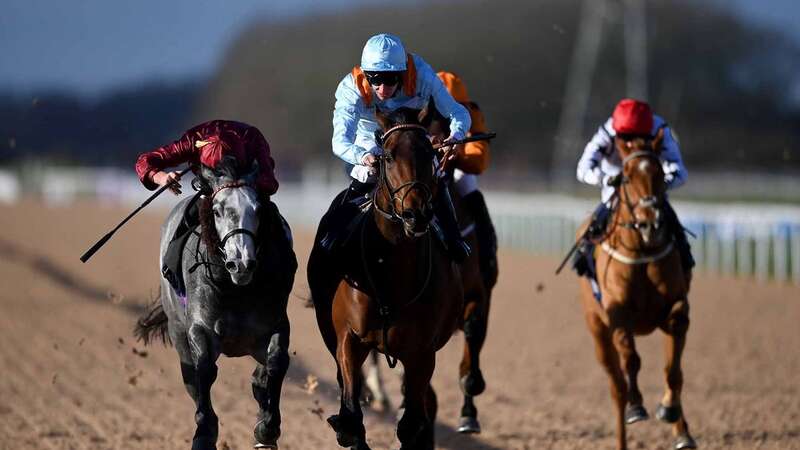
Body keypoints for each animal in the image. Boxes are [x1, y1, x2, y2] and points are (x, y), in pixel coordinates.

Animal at [134, 156, 296, 448]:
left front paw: (267, 430)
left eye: (257, 209)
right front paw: (205, 432)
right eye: (218, 211)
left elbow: (275, 364)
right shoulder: (200, 328)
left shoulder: (275, 324)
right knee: (190, 377)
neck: (236, 289)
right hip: (177, 329)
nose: (241, 263)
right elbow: (204, 370)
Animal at [310, 107, 466, 448]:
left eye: (429, 153)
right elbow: (351, 416)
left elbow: (411, 423)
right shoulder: (349, 338)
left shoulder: (422, 352)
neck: (390, 274)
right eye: (388, 156)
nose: (415, 213)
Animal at [580, 129, 696, 450]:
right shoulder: (618, 315)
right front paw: (636, 406)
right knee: (616, 384)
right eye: (627, 177)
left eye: (660, 174)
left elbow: (673, 369)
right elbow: (631, 360)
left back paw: (682, 431)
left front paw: (669, 409)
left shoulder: (676, 307)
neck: (642, 251)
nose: (650, 223)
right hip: (597, 330)